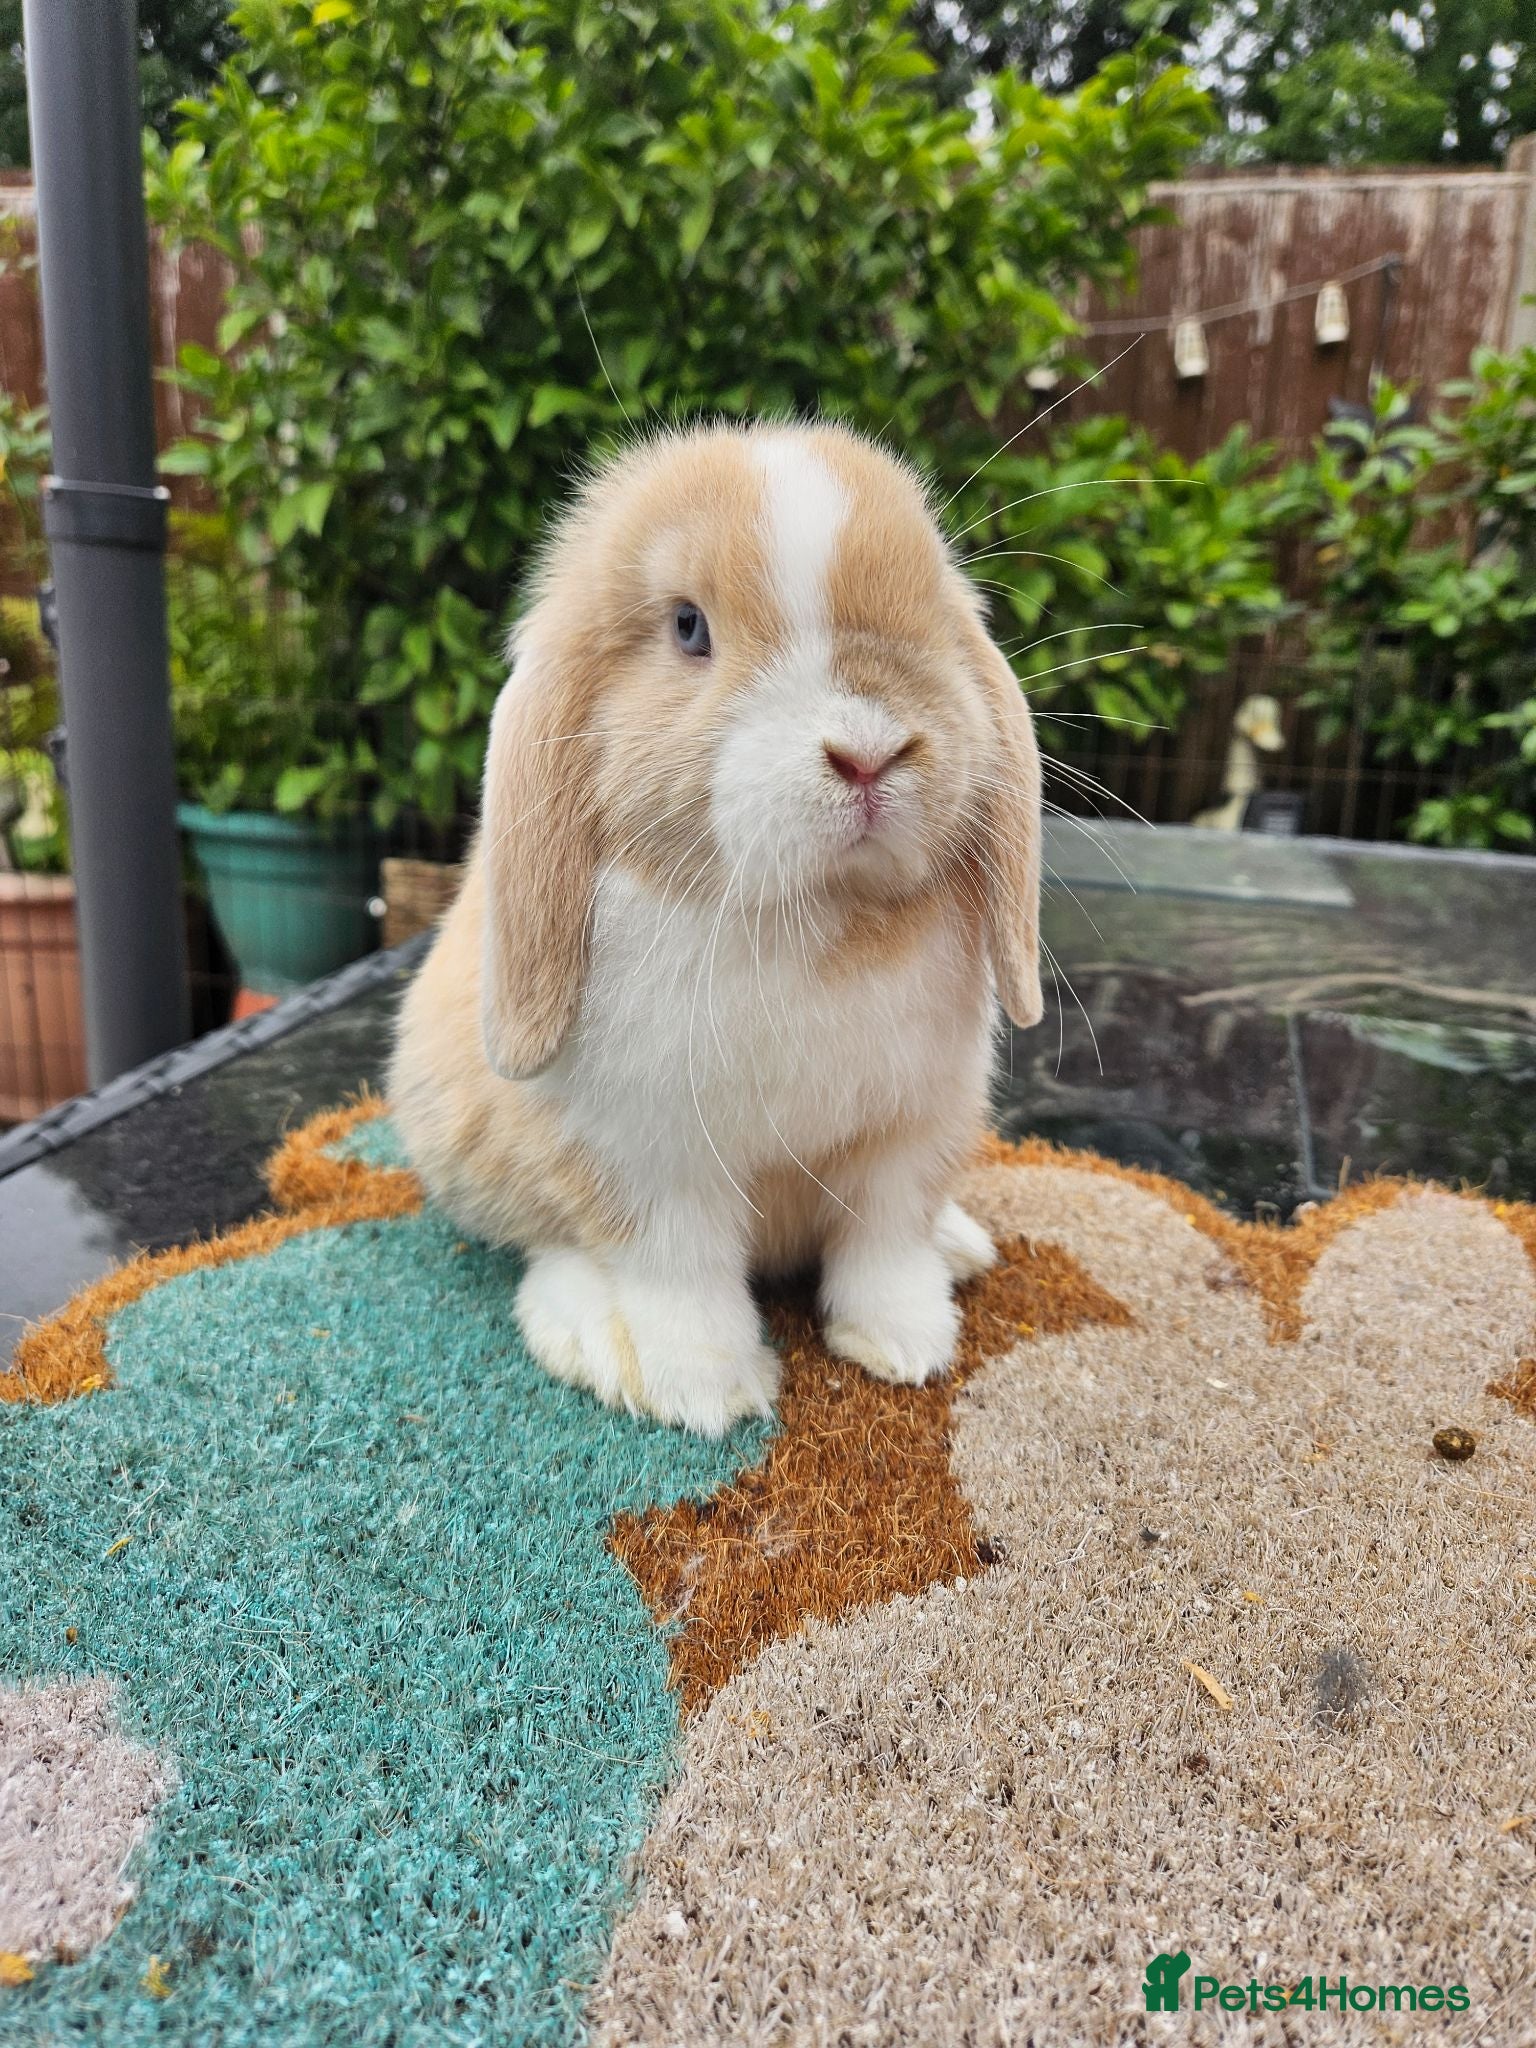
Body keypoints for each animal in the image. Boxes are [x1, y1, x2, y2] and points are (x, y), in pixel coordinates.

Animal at [388, 420, 1042, 1436]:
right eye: (689, 627)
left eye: (934, 611)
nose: (870, 752)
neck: (816, 920)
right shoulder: (646, 1160)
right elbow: (678, 1273)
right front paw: (707, 1392)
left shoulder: (912, 1135)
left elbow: (886, 1245)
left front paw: (905, 1348)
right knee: (550, 1246)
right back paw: (588, 1334)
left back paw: (961, 1246)